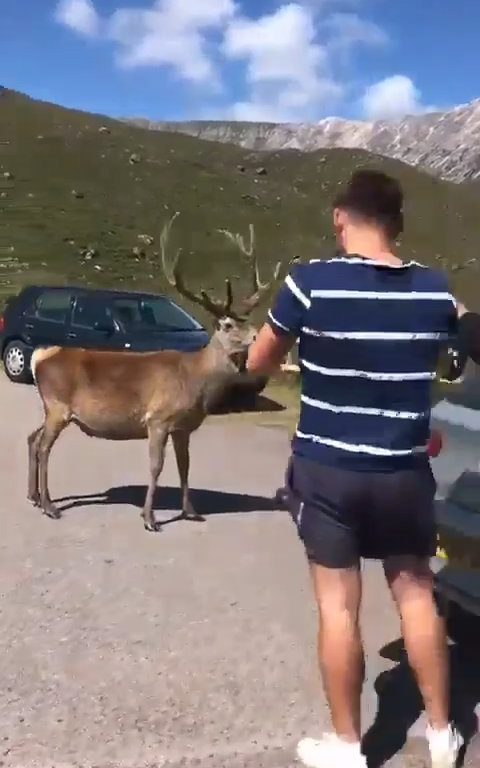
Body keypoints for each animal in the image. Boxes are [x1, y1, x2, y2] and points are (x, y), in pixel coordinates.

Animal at [28, 213, 284, 532]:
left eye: (246, 320)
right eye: (227, 325)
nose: (259, 336)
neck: (195, 381)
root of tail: (41, 356)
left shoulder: (183, 427)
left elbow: (185, 466)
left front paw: (191, 511)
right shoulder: (158, 419)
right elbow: (156, 467)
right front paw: (149, 518)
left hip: (52, 408)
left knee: (32, 438)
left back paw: (35, 497)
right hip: (58, 406)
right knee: (43, 447)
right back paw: (49, 506)